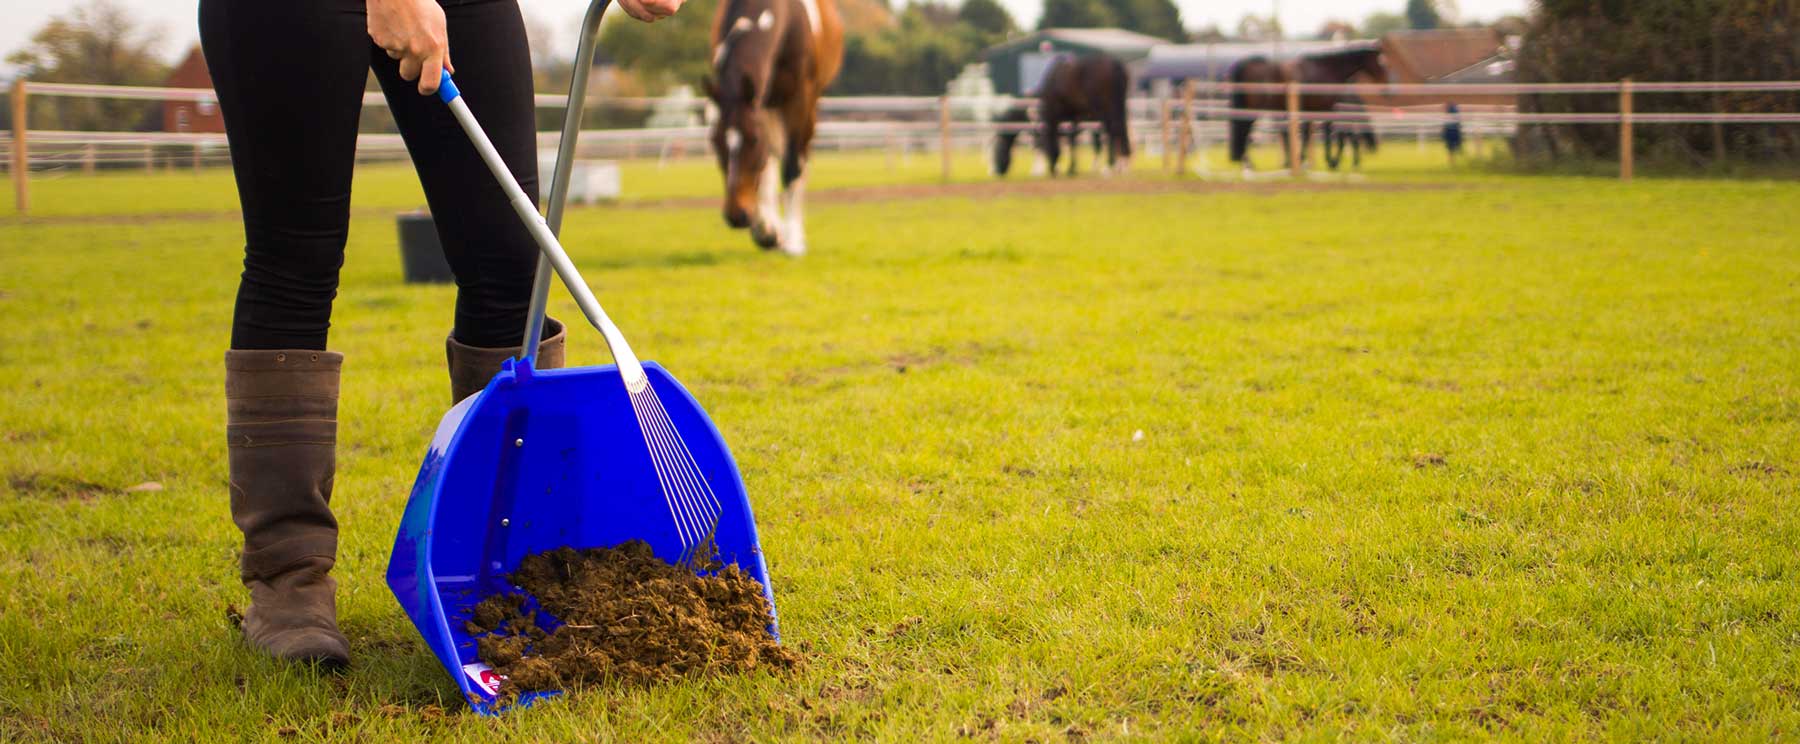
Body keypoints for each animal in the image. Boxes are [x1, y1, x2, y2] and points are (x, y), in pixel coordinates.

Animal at [702, 0, 842, 255]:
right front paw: (767, 231)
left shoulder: (799, 99)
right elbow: (765, 164)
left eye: (753, 140)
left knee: (800, 158)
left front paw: (793, 239)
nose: (736, 215)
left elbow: (792, 165)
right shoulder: (759, 103)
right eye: (715, 142)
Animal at [993, 54, 1130, 177]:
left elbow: (1043, 146)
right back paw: (1120, 165)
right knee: (1118, 132)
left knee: (1111, 132)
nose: (997, 172)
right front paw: (1070, 168)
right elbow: (1071, 139)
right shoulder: (1073, 117)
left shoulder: (1050, 120)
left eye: (998, 151)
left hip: (1104, 109)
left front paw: (1042, 170)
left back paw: (1109, 166)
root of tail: (1115, 65)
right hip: (1117, 107)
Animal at [1224, 47, 1389, 172]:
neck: (1325, 70)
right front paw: (1331, 162)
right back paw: (1248, 163)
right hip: (1252, 110)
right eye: (1380, 62)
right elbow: (1328, 135)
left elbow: (1307, 136)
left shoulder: (1312, 111)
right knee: (1245, 131)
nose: (1385, 86)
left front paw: (1302, 161)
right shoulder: (1327, 110)